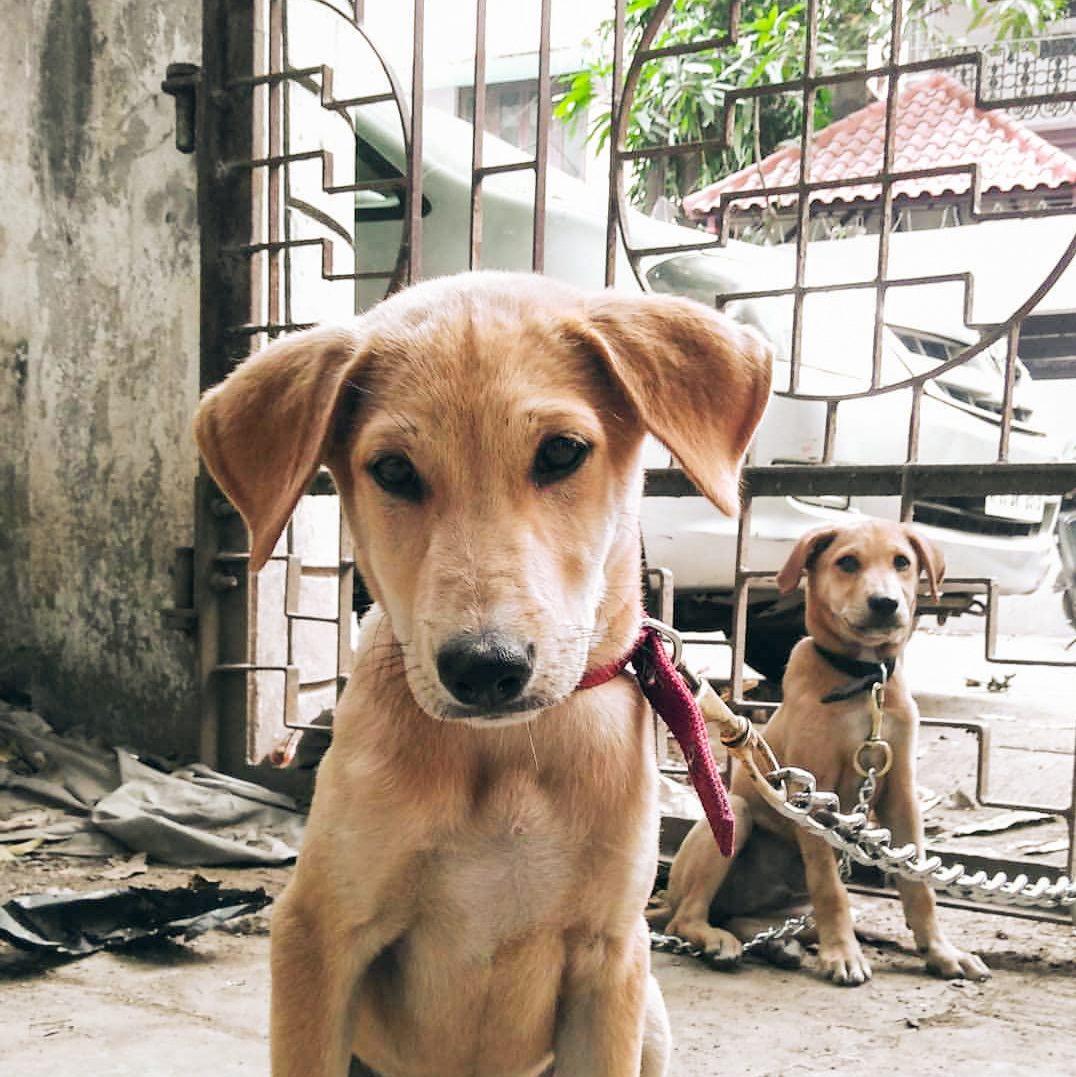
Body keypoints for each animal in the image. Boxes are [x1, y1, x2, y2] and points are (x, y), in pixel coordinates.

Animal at [195, 271, 773, 1077]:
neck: (505, 756)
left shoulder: (611, 960)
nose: (484, 670)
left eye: (561, 452)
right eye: (393, 470)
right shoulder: (316, 935)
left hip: (652, 1018)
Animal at [649, 519, 991, 986]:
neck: (863, 681)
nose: (885, 603)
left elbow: (917, 882)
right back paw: (719, 942)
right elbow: (831, 887)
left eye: (902, 562)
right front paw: (842, 955)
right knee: (686, 918)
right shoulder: (810, 795)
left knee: (749, 919)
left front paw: (941, 952)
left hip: (786, 905)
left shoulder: (901, 793)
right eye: (847, 562)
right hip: (734, 815)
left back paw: (778, 944)